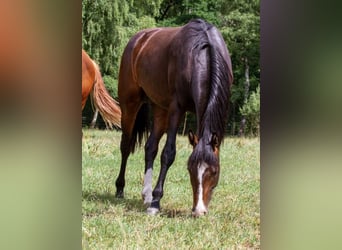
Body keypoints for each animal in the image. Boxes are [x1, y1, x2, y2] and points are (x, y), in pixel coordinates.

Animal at [115, 19, 232, 217]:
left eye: (214, 171)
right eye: (190, 170)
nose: (199, 211)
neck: (202, 52)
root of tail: (138, 39)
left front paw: (153, 199)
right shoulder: (176, 108)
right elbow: (168, 153)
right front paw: (156, 203)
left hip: (160, 108)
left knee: (150, 148)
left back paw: (146, 195)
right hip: (130, 103)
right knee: (125, 145)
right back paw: (121, 189)